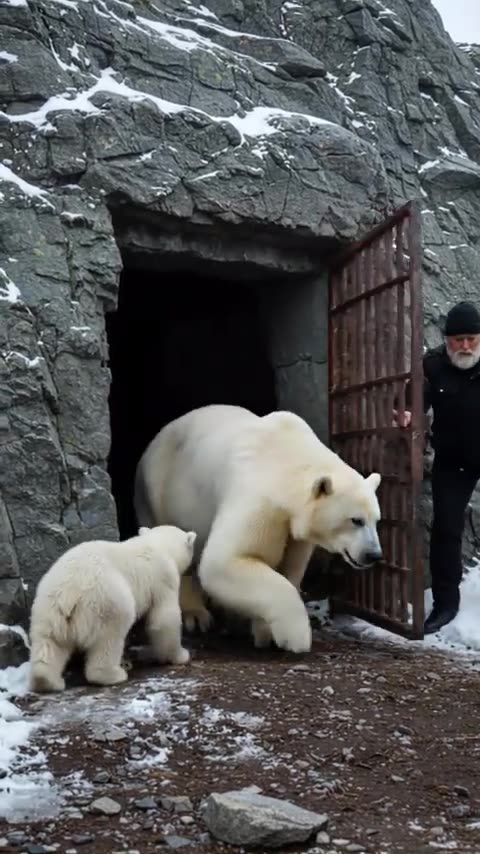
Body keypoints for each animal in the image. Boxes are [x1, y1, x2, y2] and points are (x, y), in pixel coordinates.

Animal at [28, 525, 196, 693]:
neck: (157, 545)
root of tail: (69, 592)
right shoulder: (164, 579)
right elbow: (165, 619)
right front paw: (181, 655)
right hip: (106, 601)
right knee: (110, 637)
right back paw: (114, 674)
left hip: (48, 608)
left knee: (49, 643)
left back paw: (47, 681)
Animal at [134, 404, 382, 655]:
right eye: (356, 520)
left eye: (376, 520)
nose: (373, 554)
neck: (288, 457)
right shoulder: (260, 499)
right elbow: (226, 560)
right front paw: (294, 637)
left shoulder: (294, 532)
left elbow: (290, 567)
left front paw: (265, 630)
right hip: (156, 493)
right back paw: (195, 615)